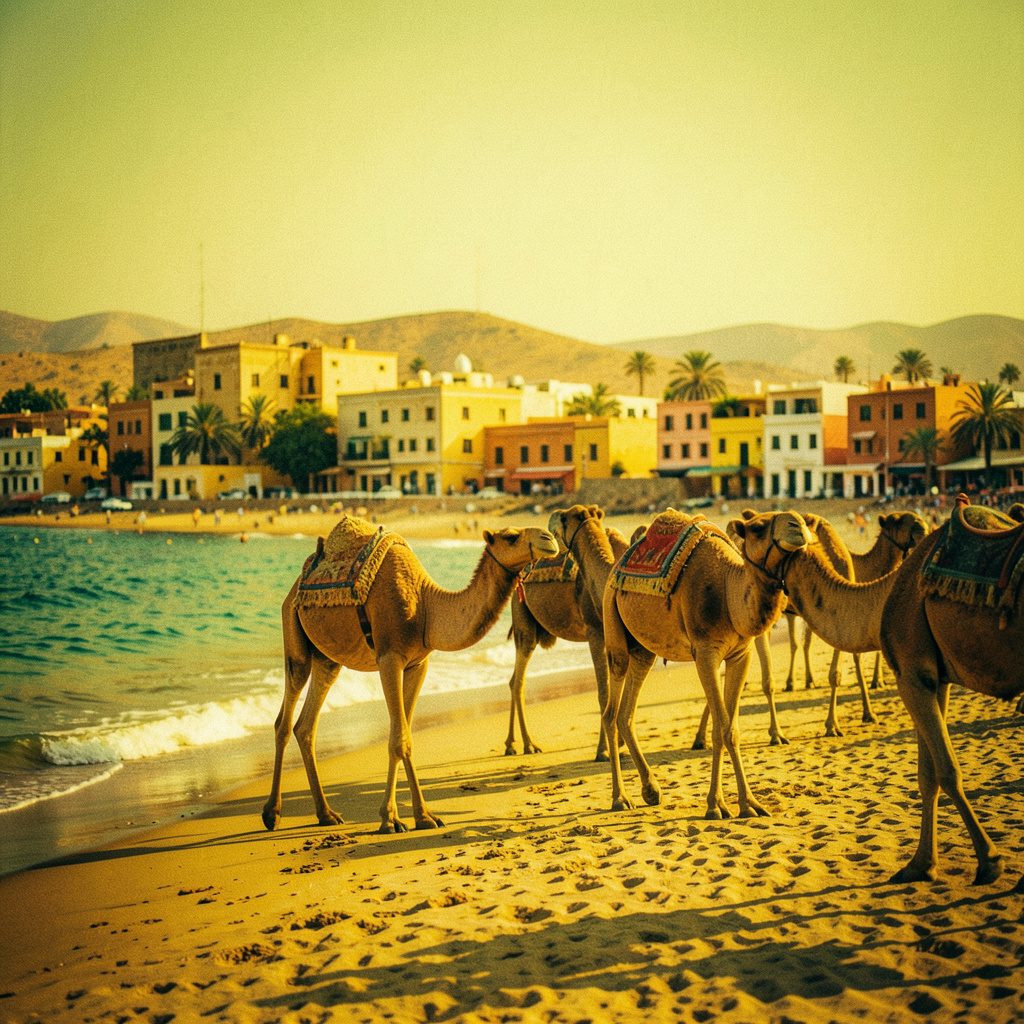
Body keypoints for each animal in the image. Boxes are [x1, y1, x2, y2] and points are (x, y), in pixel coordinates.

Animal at [262, 520, 558, 833]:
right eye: (511, 537)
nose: (549, 539)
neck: (427, 606)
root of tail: (296, 585)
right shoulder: (389, 658)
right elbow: (400, 739)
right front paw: (407, 818)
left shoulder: (418, 664)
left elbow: (401, 736)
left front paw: (406, 816)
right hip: (294, 635)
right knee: (285, 719)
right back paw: (272, 813)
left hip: (326, 658)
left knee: (306, 725)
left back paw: (327, 814)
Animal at [505, 521, 629, 758]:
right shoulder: (594, 631)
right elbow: (603, 692)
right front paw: (603, 751)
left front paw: (619, 746)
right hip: (523, 619)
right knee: (518, 680)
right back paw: (528, 744)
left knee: (513, 678)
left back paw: (511, 745)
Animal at [599, 507, 812, 818]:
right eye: (758, 527)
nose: (798, 525)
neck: (728, 592)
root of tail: (617, 566)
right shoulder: (705, 652)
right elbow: (724, 728)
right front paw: (720, 806)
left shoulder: (740, 654)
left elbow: (730, 728)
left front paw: (745, 803)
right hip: (613, 624)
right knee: (611, 711)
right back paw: (620, 798)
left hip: (643, 648)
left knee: (627, 712)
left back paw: (651, 790)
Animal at [879, 496, 1024, 884]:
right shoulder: (933, 676)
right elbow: (927, 776)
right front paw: (920, 864)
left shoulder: (911, 674)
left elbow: (946, 771)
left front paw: (990, 861)